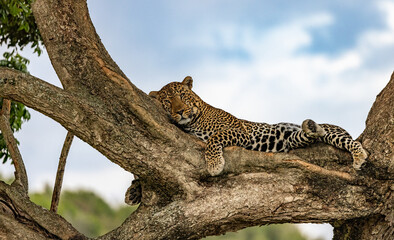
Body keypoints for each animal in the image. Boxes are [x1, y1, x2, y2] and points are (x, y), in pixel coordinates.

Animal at [124, 76, 368, 204]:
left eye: (183, 96)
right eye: (167, 102)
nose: (180, 111)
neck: (193, 120)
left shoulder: (238, 130)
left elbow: (214, 139)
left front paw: (214, 164)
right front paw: (134, 191)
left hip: (333, 133)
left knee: (348, 141)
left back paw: (359, 155)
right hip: (292, 141)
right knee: (302, 136)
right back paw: (309, 128)